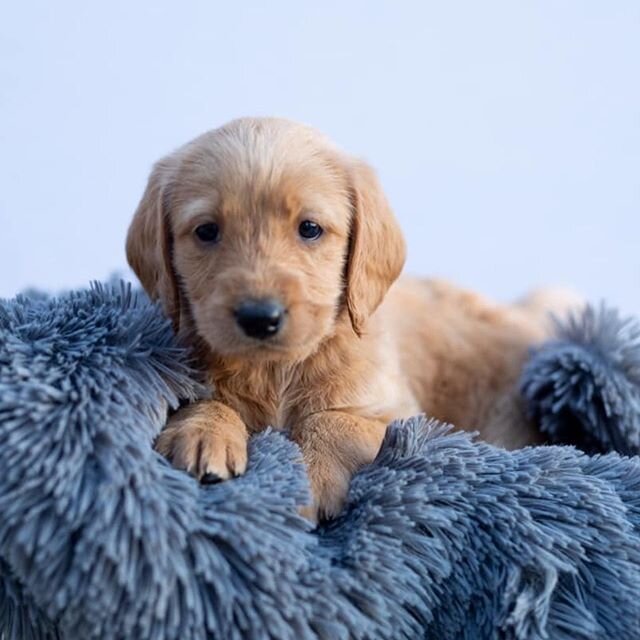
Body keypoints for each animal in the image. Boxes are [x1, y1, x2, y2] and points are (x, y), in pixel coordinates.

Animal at [127, 117, 576, 524]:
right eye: (206, 231)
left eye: (309, 228)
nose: (259, 318)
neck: (276, 370)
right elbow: (204, 398)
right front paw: (203, 429)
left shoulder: (407, 420)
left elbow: (334, 419)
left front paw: (308, 479)